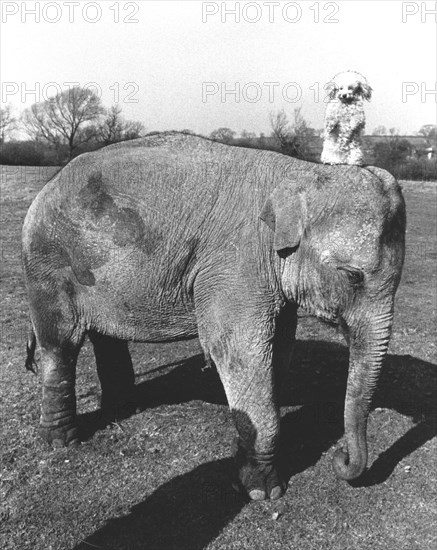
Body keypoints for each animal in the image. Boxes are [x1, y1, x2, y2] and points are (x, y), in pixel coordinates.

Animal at [22, 132, 406, 502]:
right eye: (353, 276)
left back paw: (122, 407)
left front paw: (243, 460)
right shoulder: (236, 265)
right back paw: (62, 440)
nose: (341, 460)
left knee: (105, 339)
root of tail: (46, 187)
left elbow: (278, 349)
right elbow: (241, 352)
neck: (303, 173)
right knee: (60, 345)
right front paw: (264, 491)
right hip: (48, 265)